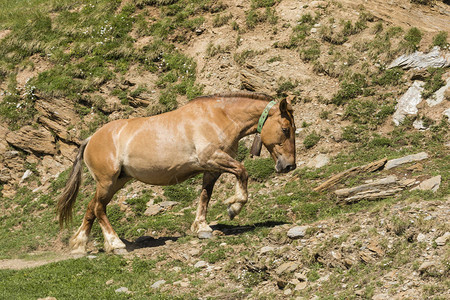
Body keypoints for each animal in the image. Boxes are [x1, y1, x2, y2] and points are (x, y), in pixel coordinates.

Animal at [58, 92, 298, 253]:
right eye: (285, 129)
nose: (289, 165)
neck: (219, 117)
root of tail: (91, 139)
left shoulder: (212, 169)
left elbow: (205, 195)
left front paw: (202, 227)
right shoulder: (213, 158)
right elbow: (242, 171)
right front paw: (234, 207)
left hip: (116, 181)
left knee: (92, 207)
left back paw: (79, 245)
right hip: (107, 181)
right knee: (99, 208)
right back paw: (115, 244)